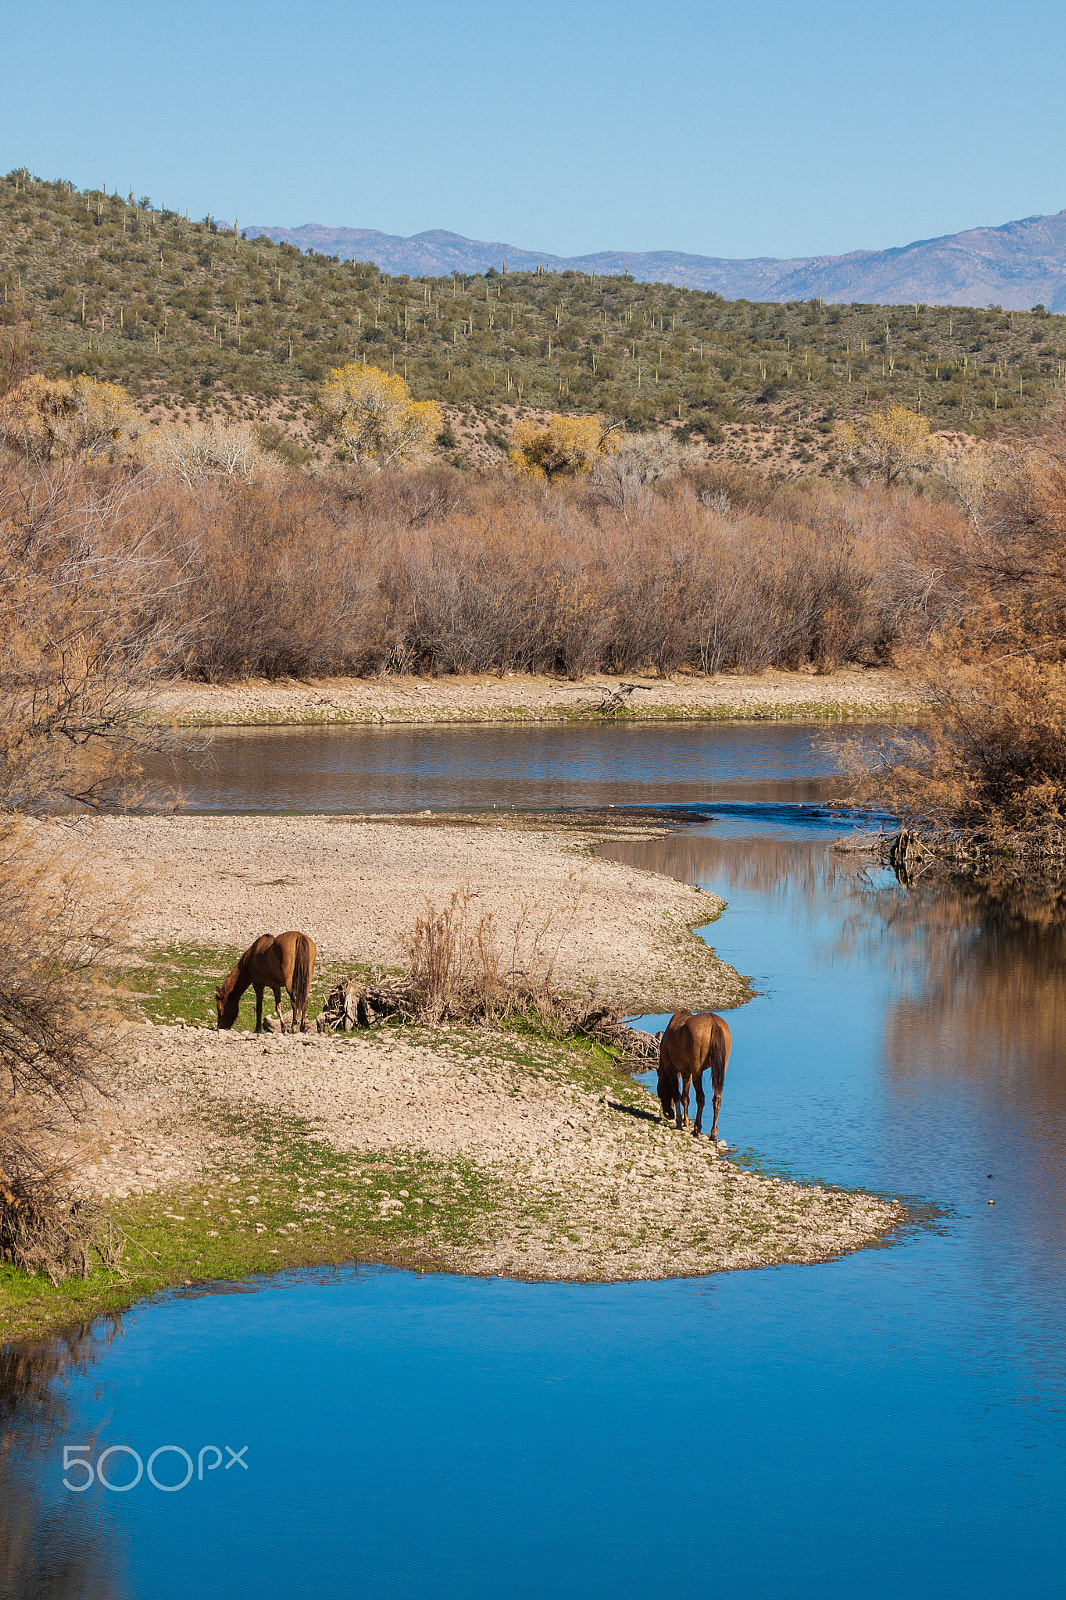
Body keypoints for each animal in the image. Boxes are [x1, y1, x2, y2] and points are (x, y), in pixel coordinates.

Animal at [656, 1010, 732, 1140]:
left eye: (660, 1093)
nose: (668, 1114)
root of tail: (714, 1023)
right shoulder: (687, 1072)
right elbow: (685, 1097)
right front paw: (686, 1121)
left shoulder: (672, 1070)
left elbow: (677, 1094)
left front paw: (679, 1122)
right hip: (720, 1068)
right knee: (717, 1098)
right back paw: (713, 1133)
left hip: (698, 1072)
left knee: (701, 1098)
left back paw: (696, 1129)